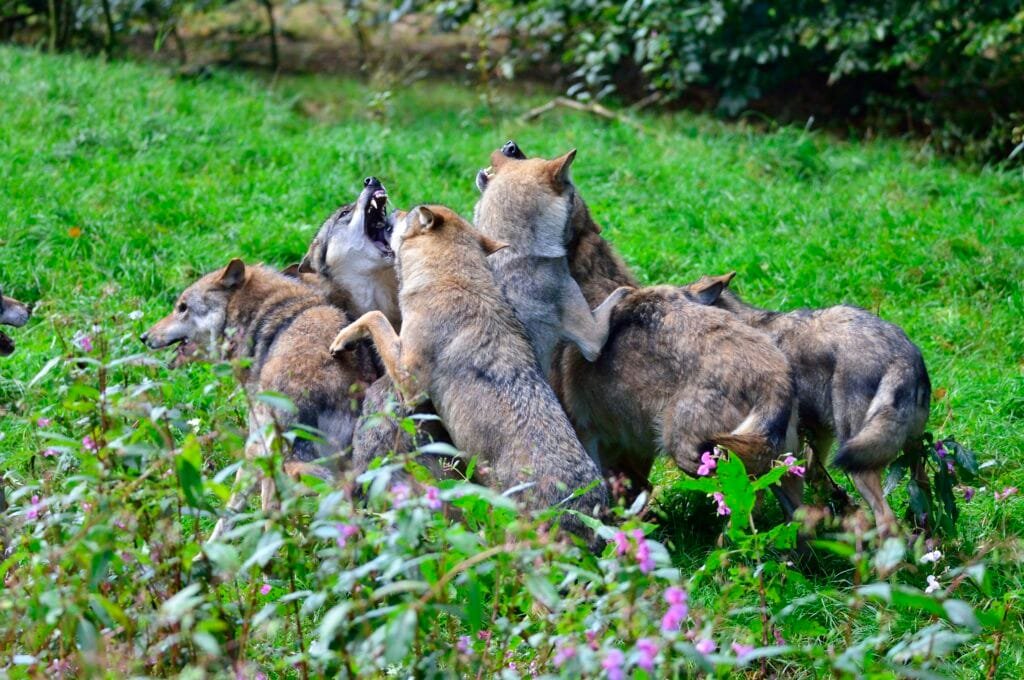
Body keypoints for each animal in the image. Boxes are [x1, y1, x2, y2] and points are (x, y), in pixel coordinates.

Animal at [329, 205, 608, 537]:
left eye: (408, 213)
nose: (396, 208)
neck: (450, 278)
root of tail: (586, 509)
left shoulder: (410, 383)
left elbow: (374, 316)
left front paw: (341, 339)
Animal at [683, 272, 931, 532]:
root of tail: (901, 358)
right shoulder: (816, 433)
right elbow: (813, 478)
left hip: (858, 462)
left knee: (886, 518)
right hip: (912, 453)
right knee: (923, 491)